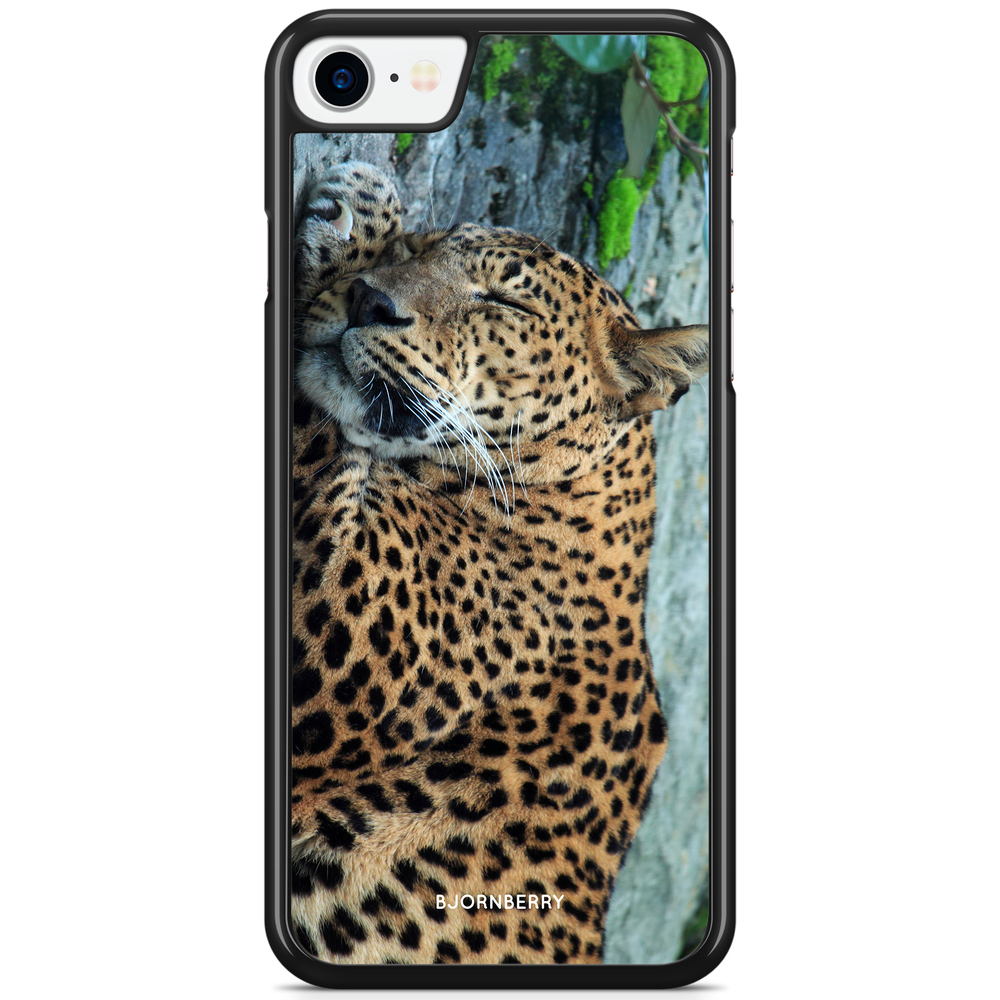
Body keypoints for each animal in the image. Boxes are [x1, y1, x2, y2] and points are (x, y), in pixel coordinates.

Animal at [289, 161, 708, 965]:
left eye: (504, 301)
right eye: (426, 247)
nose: (369, 300)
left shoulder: (343, 614)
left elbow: (314, 430)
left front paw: (356, 209)